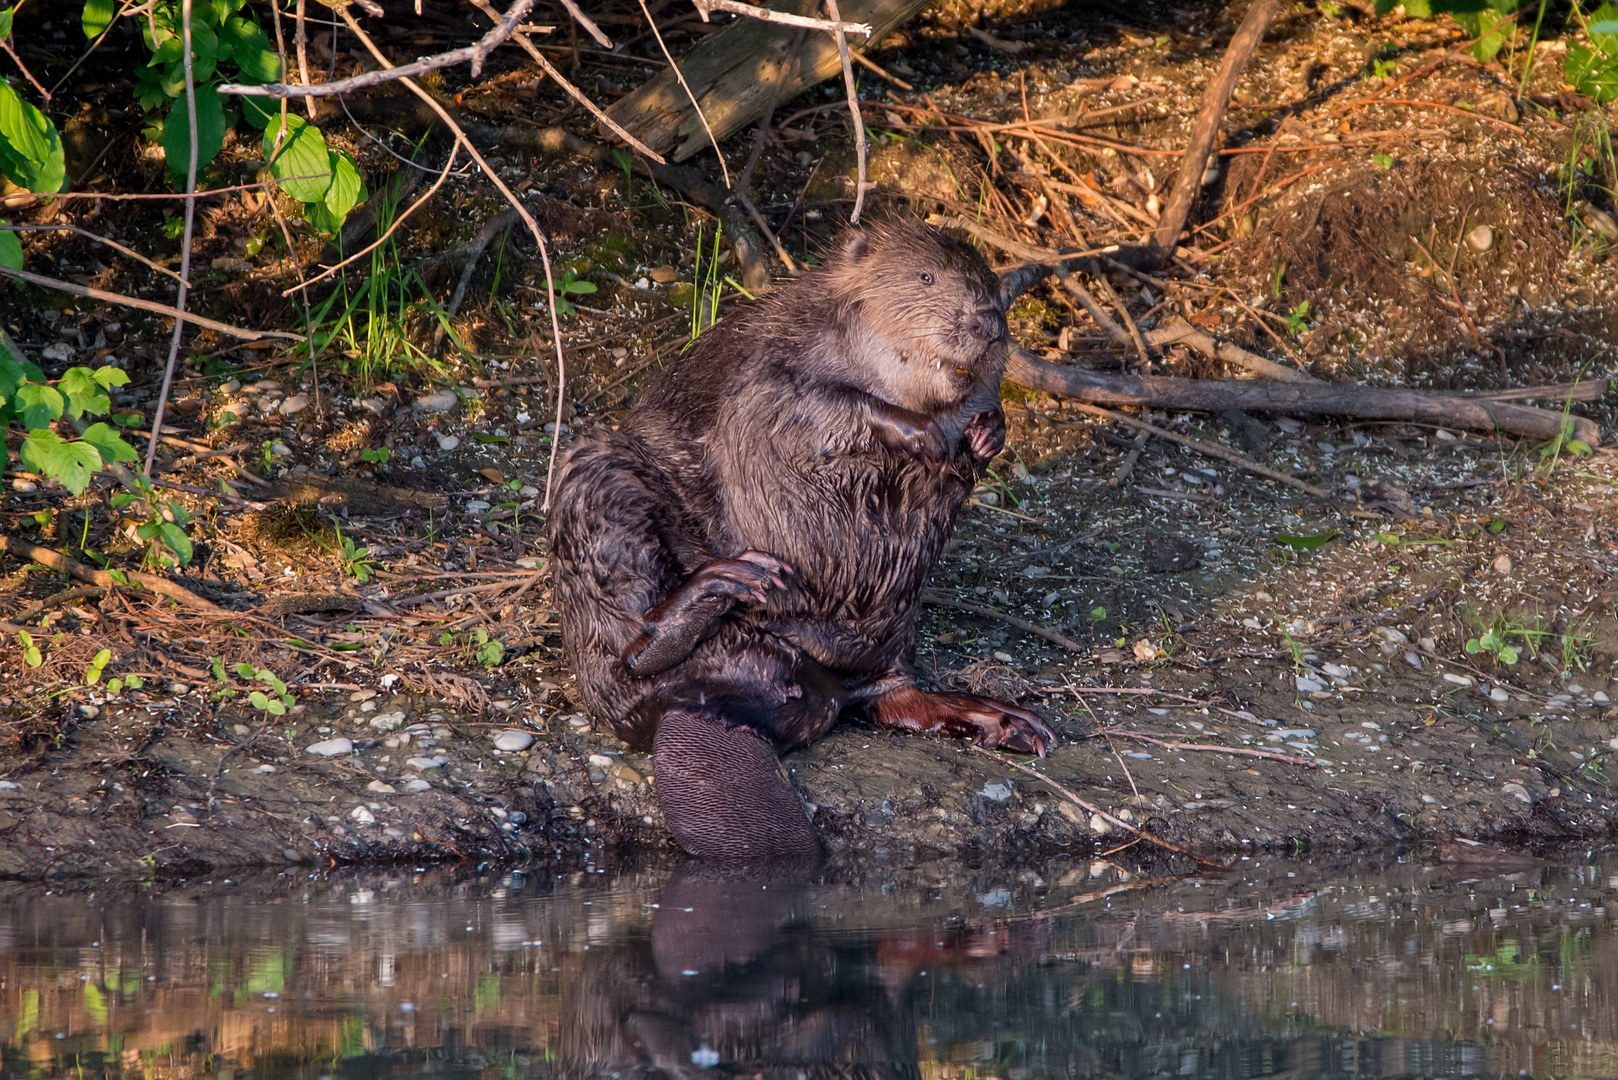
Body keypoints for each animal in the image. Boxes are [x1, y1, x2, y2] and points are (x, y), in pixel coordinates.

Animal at [546, 221, 1048, 861]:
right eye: (927, 276)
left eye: (988, 281)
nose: (988, 319)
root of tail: (705, 707)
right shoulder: (768, 367)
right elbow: (809, 403)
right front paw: (922, 434)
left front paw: (989, 431)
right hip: (598, 478)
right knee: (630, 649)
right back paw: (725, 583)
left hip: (889, 630)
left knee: (892, 693)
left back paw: (1007, 721)